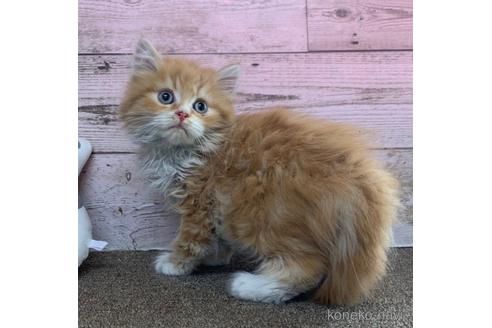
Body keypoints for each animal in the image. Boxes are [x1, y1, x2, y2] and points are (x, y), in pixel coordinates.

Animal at [119, 40, 400, 304]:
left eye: (200, 106)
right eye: (166, 97)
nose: (181, 114)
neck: (184, 152)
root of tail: (359, 175)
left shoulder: (199, 202)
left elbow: (190, 238)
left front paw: (175, 264)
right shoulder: (215, 205)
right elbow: (216, 237)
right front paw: (215, 257)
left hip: (266, 214)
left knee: (308, 268)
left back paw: (251, 287)